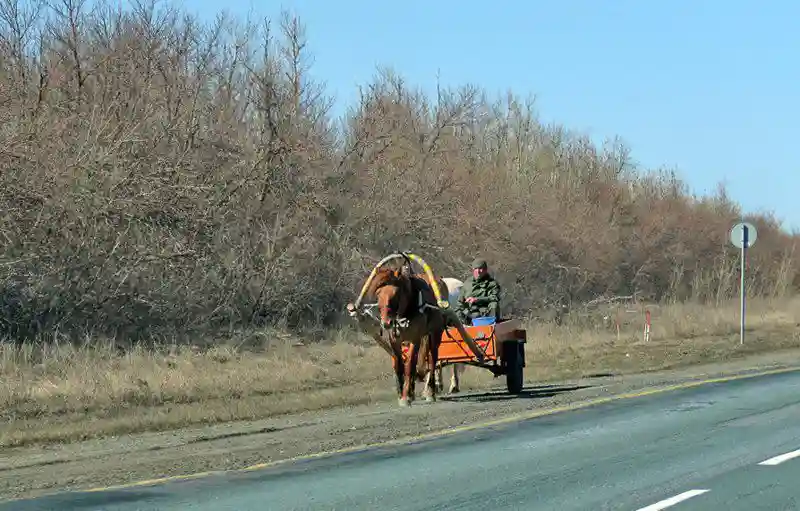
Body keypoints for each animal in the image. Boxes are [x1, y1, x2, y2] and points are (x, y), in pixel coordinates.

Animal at [364, 266, 446, 406]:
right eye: (378, 294)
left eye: (395, 294)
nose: (386, 322)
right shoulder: (395, 340)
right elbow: (399, 365)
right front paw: (402, 393)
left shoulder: (415, 339)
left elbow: (409, 366)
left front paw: (405, 397)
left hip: (434, 335)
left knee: (432, 360)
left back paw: (430, 392)